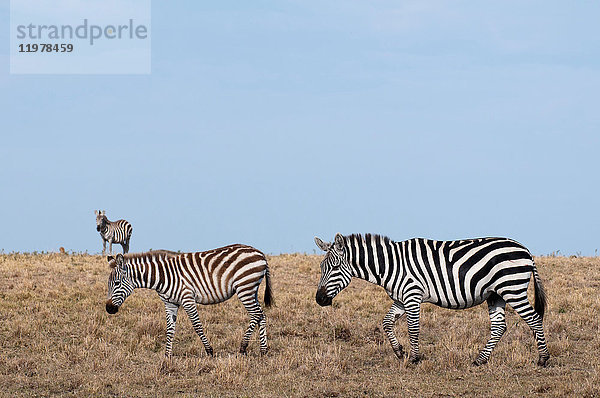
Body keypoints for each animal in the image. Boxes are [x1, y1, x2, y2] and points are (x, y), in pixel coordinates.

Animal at [105, 244, 274, 356]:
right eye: (109, 284)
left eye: (117, 283)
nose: (108, 309)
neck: (162, 276)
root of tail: (260, 253)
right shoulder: (170, 303)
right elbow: (170, 329)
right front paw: (167, 356)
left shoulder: (187, 299)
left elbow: (197, 326)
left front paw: (209, 351)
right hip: (251, 289)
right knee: (262, 314)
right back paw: (263, 350)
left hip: (244, 287)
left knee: (256, 314)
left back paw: (243, 347)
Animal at [316, 233, 552, 366]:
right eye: (321, 267)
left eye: (335, 267)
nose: (319, 299)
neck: (391, 265)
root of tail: (525, 250)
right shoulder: (401, 299)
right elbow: (386, 322)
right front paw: (399, 351)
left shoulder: (412, 295)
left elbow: (413, 328)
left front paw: (414, 358)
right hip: (496, 294)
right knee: (499, 327)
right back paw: (480, 360)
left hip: (512, 289)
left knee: (533, 319)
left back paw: (543, 359)